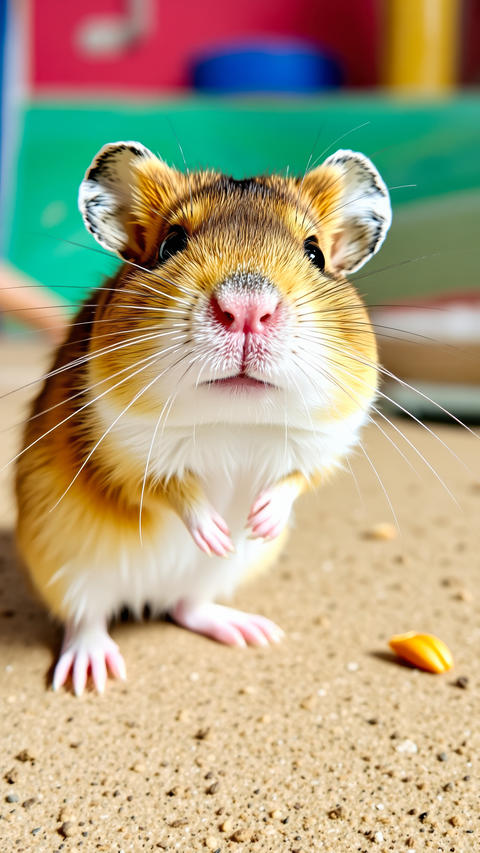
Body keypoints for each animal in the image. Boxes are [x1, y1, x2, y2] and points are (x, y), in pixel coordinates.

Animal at [15, 141, 391, 695]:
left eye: (315, 253)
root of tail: (147, 597)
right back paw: (89, 674)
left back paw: (250, 631)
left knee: (187, 607)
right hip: (69, 569)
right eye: (171, 243)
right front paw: (216, 531)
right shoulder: (124, 454)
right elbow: (173, 489)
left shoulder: (326, 443)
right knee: (87, 619)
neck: (232, 420)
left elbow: (294, 480)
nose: (248, 310)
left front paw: (258, 523)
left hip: (221, 576)